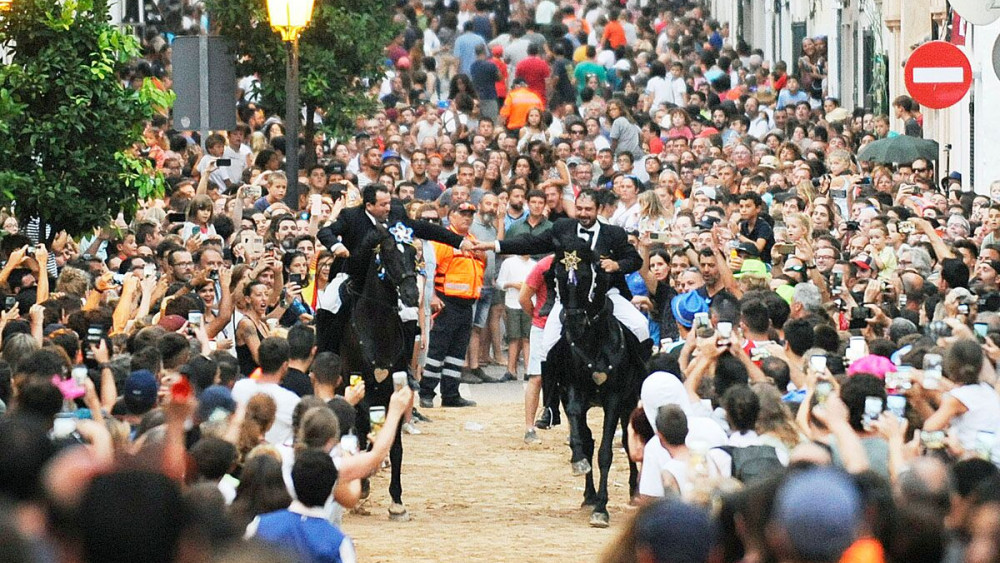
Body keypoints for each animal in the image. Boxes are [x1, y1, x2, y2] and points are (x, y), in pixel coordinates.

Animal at [334, 223, 416, 524]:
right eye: (389, 254)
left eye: (413, 253)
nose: (412, 294)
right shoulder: (361, 387)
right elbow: (362, 432)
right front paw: (364, 486)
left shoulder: (395, 390)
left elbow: (394, 444)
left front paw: (397, 502)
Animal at [548, 238, 648, 528]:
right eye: (558, 276)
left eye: (585, 277)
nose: (573, 321)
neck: (592, 341)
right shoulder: (573, 391)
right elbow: (582, 437)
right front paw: (579, 463)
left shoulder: (614, 399)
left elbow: (606, 452)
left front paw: (602, 509)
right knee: (589, 439)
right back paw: (589, 495)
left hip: (629, 403)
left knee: (626, 440)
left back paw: (634, 491)